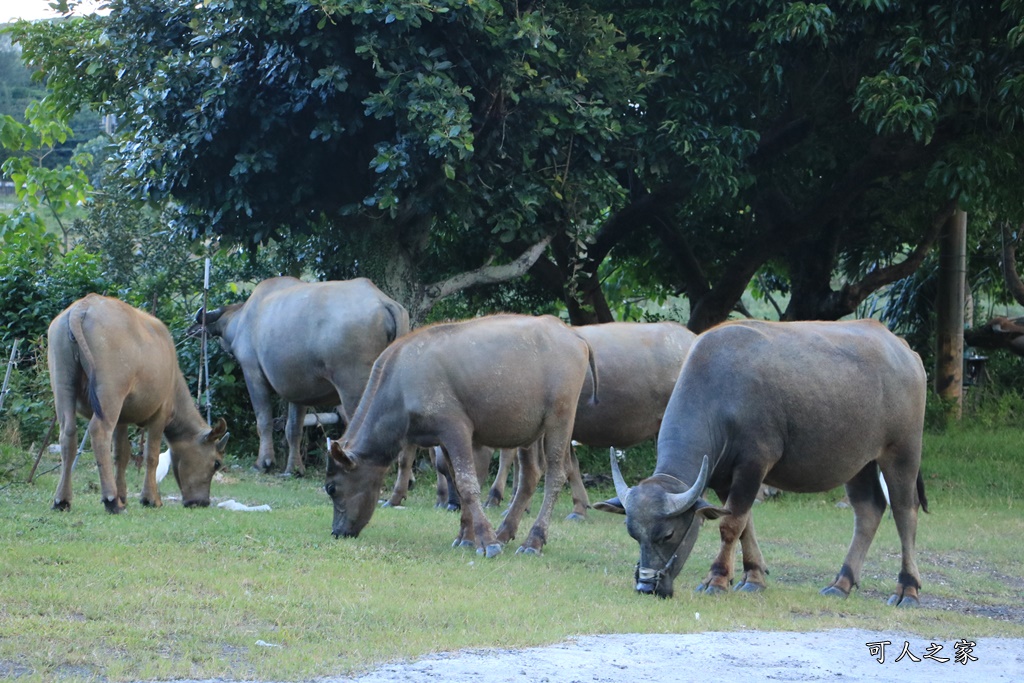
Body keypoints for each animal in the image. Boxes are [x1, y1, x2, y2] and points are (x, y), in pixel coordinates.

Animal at [48, 294, 230, 511]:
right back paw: (111, 500)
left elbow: (121, 454)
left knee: (68, 433)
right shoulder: (160, 413)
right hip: (110, 392)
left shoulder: (122, 418)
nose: (202, 502)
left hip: (63, 384)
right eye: (216, 463)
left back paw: (62, 500)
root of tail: (82, 307)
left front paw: (123, 495)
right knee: (99, 432)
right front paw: (150, 498)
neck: (174, 380)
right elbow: (151, 456)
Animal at [323, 313, 598, 557]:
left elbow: (467, 483)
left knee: (556, 474)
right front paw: (465, 537)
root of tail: (574, 335)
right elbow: (455, 478)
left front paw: (486, 542)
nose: (336, 532)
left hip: (560, 419)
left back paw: (534, 541)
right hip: (529, 431)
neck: (400, 385)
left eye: (332, 488)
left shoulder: (456, 429)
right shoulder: (443, 440)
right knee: (530, 476)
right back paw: (505, 532)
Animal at [598, 321, 929, 610]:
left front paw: (717, 579)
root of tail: (904, 350)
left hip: (902, 451)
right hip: (859, 462)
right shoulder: (723, 475)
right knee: (869, 509)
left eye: (667, 534)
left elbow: (731, 524)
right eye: (632, 533)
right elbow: (744, 523)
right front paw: (753, 577)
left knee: (905, 511)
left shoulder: (754, 464)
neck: (721, 396)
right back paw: (841, 583)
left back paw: (907, 589)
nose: (646, 586)